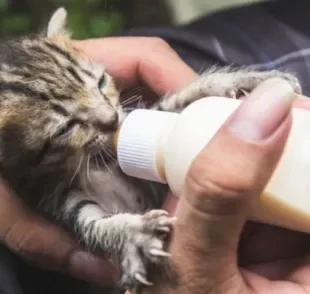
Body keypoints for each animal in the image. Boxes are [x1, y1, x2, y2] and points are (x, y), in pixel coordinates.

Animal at [0, 6, 302, 292]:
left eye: (101, 82)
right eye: (66, 128)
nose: (112, 120)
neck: (97, 164)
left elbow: (168, 109)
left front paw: (238, 81)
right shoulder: (52, 197)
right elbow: (92, 225)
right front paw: (132, 235)